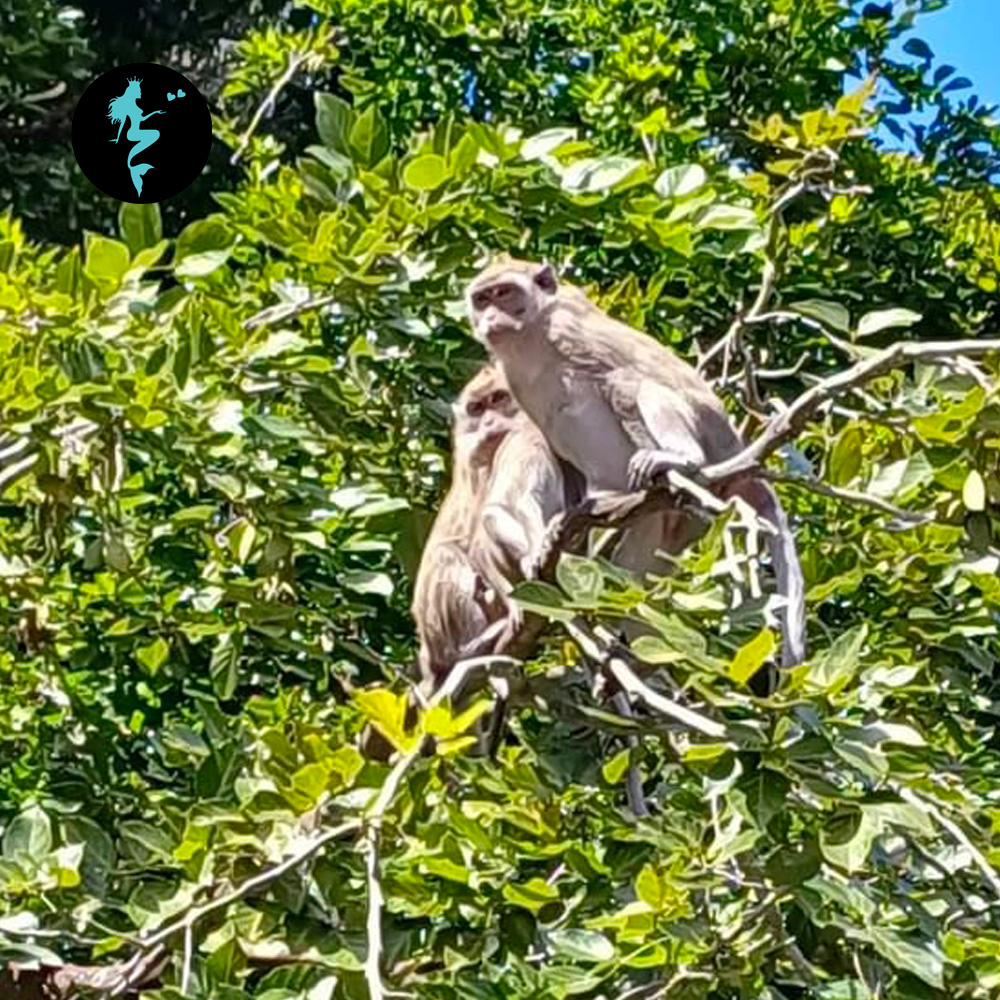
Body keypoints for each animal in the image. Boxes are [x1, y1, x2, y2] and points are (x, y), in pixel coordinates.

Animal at [466, 258, 804, 672]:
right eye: (483, 298)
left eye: (504, 292)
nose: (490, 317)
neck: (529, 335)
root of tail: (734, 452)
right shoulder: (511, 377)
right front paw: (543, 542)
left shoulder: (567, 331)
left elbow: (620, 381)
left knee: (648, 388)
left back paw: (678, 463)